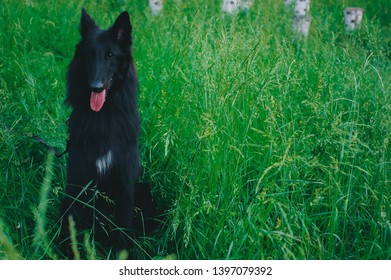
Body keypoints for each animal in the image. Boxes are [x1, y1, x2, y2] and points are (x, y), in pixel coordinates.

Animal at [58, 8, 142, 258]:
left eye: (110, 55)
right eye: (90, 55)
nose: (95, 87)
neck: (104, 116)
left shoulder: (124, 183)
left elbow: (122, 227)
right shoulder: (79, 179)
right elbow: (77, 222)